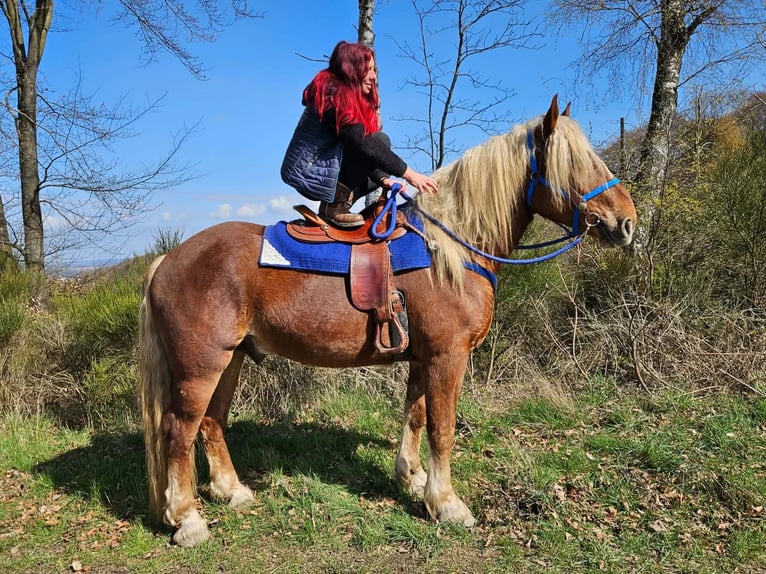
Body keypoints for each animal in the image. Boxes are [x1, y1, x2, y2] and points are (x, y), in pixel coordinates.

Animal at [139, 95, 637, 547]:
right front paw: (446, 503)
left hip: (231, 360)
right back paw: (187, 519)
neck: (449, 249)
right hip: (200, 367)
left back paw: (231, 492)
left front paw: (412, 477)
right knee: (178, 432)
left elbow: (415, 415)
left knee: (211, 422)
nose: (627, 222)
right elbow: (442, 427)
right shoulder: (447, 356)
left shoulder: (422, 357)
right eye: (576, 164)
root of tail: (167, 260)